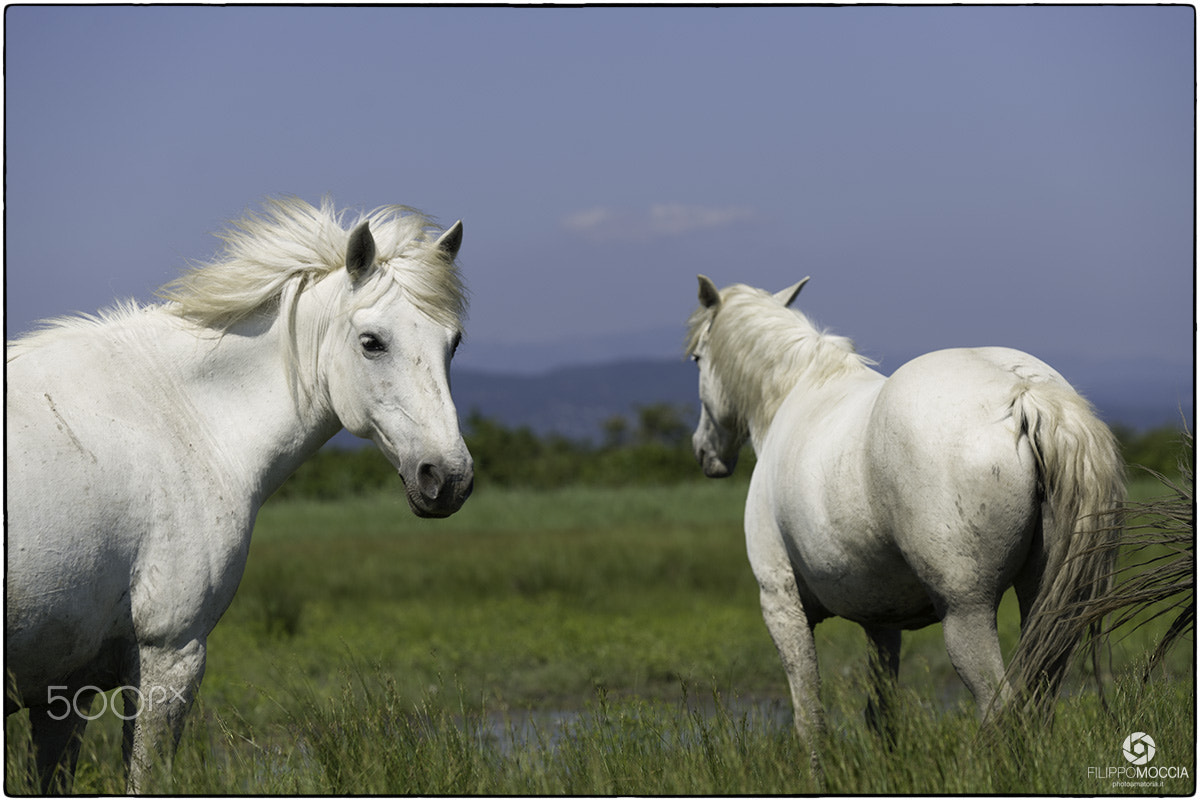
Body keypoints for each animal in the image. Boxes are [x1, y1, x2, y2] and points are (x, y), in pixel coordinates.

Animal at [5, 197, 474, 793]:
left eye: (453, 343)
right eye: (372, 342)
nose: (450, 478)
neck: (178, 416)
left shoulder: (63, 688)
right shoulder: (172, 654)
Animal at [685, 275, 1125, 776]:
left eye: (698, 357)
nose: (704, 452)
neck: (795, 397)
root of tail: (1023, 395)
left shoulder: (780, 603)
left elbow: (809, 716)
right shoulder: (882, 621)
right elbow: (882, 712)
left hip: (967, 612)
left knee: (998, 707)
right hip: (1044, 600)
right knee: (1040, 700)